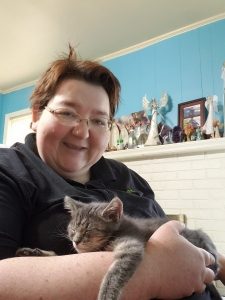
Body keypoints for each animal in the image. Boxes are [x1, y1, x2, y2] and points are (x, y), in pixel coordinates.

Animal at [16, 195, 221, 300]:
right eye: (72, 228)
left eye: (88, 229)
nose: (75, 240)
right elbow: (59, 255)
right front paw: (34, 252)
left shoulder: (131, 246)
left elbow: (114, 274)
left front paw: (106, 294)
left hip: (198, 237)